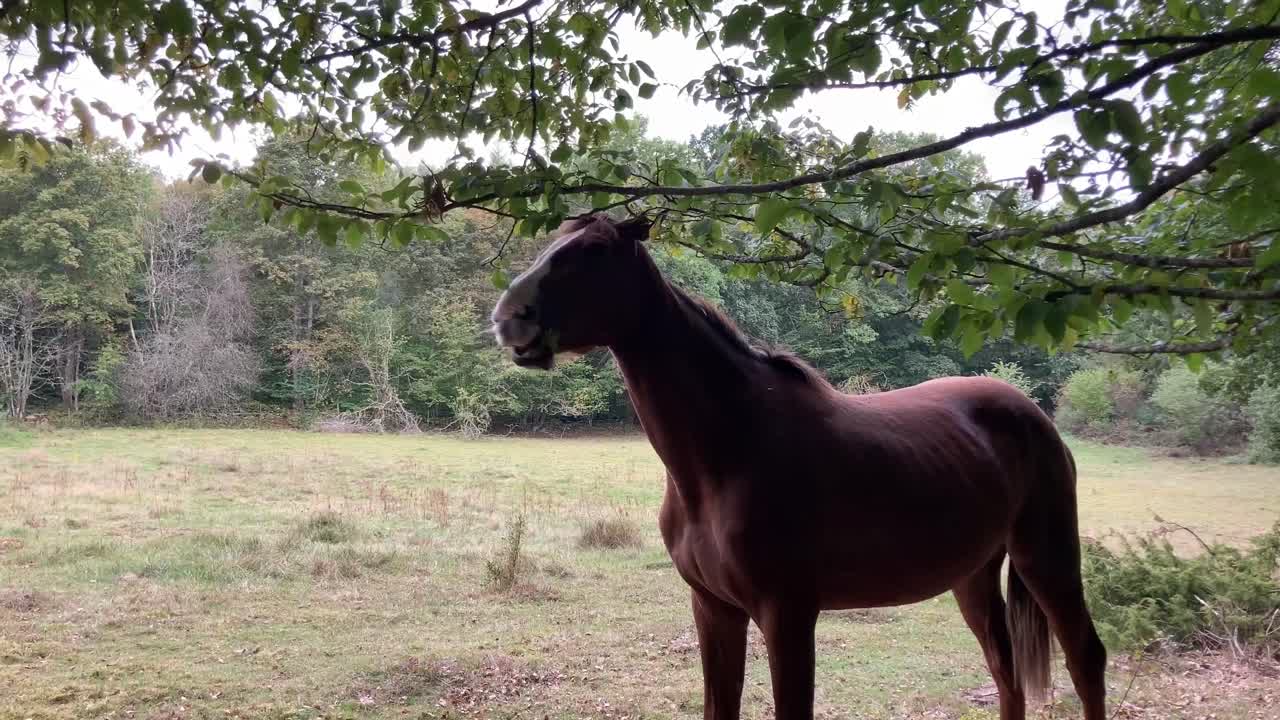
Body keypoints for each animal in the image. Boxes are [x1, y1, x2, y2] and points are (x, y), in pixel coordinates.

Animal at [490, 213, 1107, 720]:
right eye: (553, 241)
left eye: (594, 250)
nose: (507, 319)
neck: (729, 453)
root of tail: (1033, 414)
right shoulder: (714, 609)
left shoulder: (787, 616)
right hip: (974, 574)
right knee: (1006, 671)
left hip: (1046, 557)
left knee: (1086, 659)